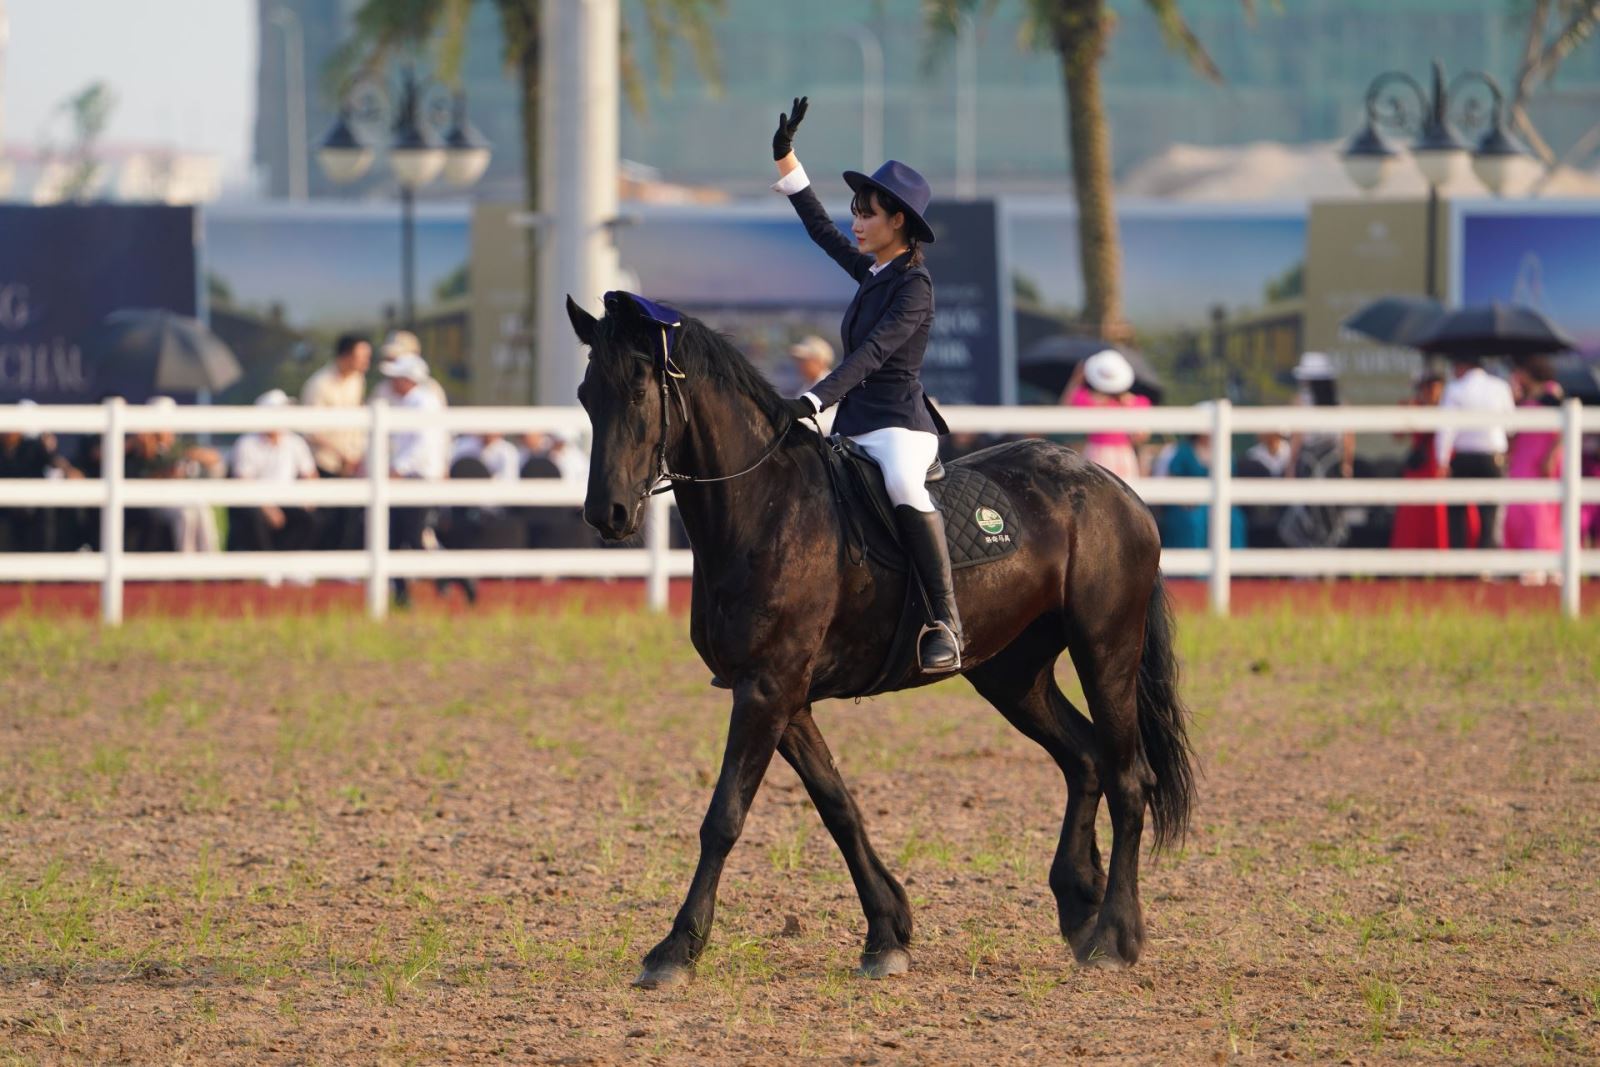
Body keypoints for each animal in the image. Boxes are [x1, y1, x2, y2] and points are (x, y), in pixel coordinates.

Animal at [569, 295, 1196, 991]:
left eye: (638, 389)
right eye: (587, 395)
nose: (607, 516)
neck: (765, 506)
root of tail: (1117, 490)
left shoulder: (766, 690)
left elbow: (724, 816)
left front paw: (676, 948)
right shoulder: (781, 697)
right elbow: (838, 806)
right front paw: (888, 933)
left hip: (1105, 648)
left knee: (1127, 776)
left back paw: (1115, 934)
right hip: (1011, 673)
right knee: (1083, 757)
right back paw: (1079, 903)